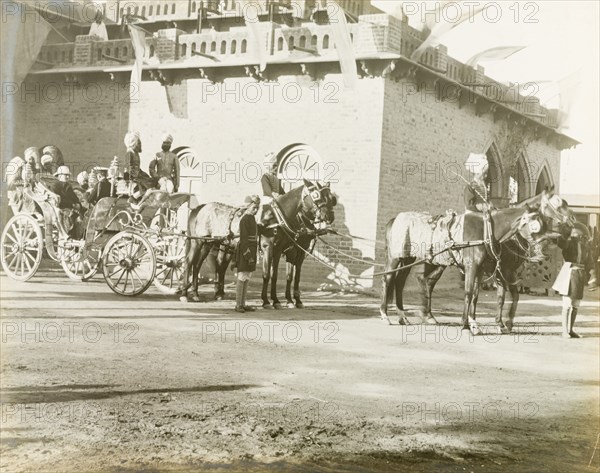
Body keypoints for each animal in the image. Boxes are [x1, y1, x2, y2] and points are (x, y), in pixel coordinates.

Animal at [178, 179, 338, 304]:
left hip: (211, 243)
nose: (329, 216)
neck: (278, 218)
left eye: (331, 198)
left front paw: (283, 300)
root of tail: (201, 207)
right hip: (198, 242)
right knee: (189, 262)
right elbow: (268, 274)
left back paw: (201, 293)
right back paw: (185, 294)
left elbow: (283, 276)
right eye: (317, 196)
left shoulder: (284, 251)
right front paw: (268, 300)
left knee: (201, 265)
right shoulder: (270, 247)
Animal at [382, 190, 576, 334]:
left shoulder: (486, 269)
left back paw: (407, 316)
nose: (572, 222)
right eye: (559, 203)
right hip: (396, 257)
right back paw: (386, 315)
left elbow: (481, 295)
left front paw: (482, 323)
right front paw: (470, 324)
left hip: (413, 258)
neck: (486, 231)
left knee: (405, 282)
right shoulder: (483, 268)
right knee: (389, 279)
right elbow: (471, 293)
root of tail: (395, 219)